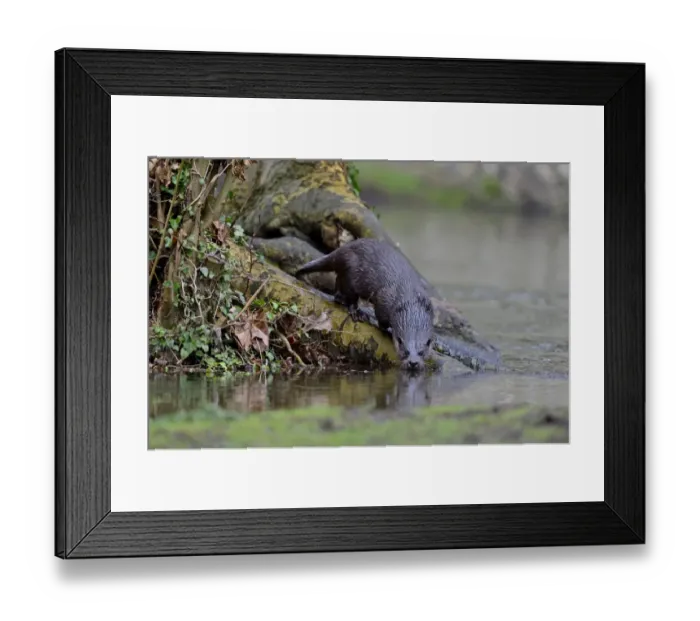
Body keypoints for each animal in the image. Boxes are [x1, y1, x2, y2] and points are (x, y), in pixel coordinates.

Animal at [295, 238, 435, 371]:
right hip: (351, 272)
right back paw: (357, 312)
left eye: (421, 352)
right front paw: (388, 330)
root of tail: (343, 249)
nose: (413, 362)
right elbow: (381, 319)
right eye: (405, 350)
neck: (410, 299)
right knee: (350, 295)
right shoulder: (384, 300)